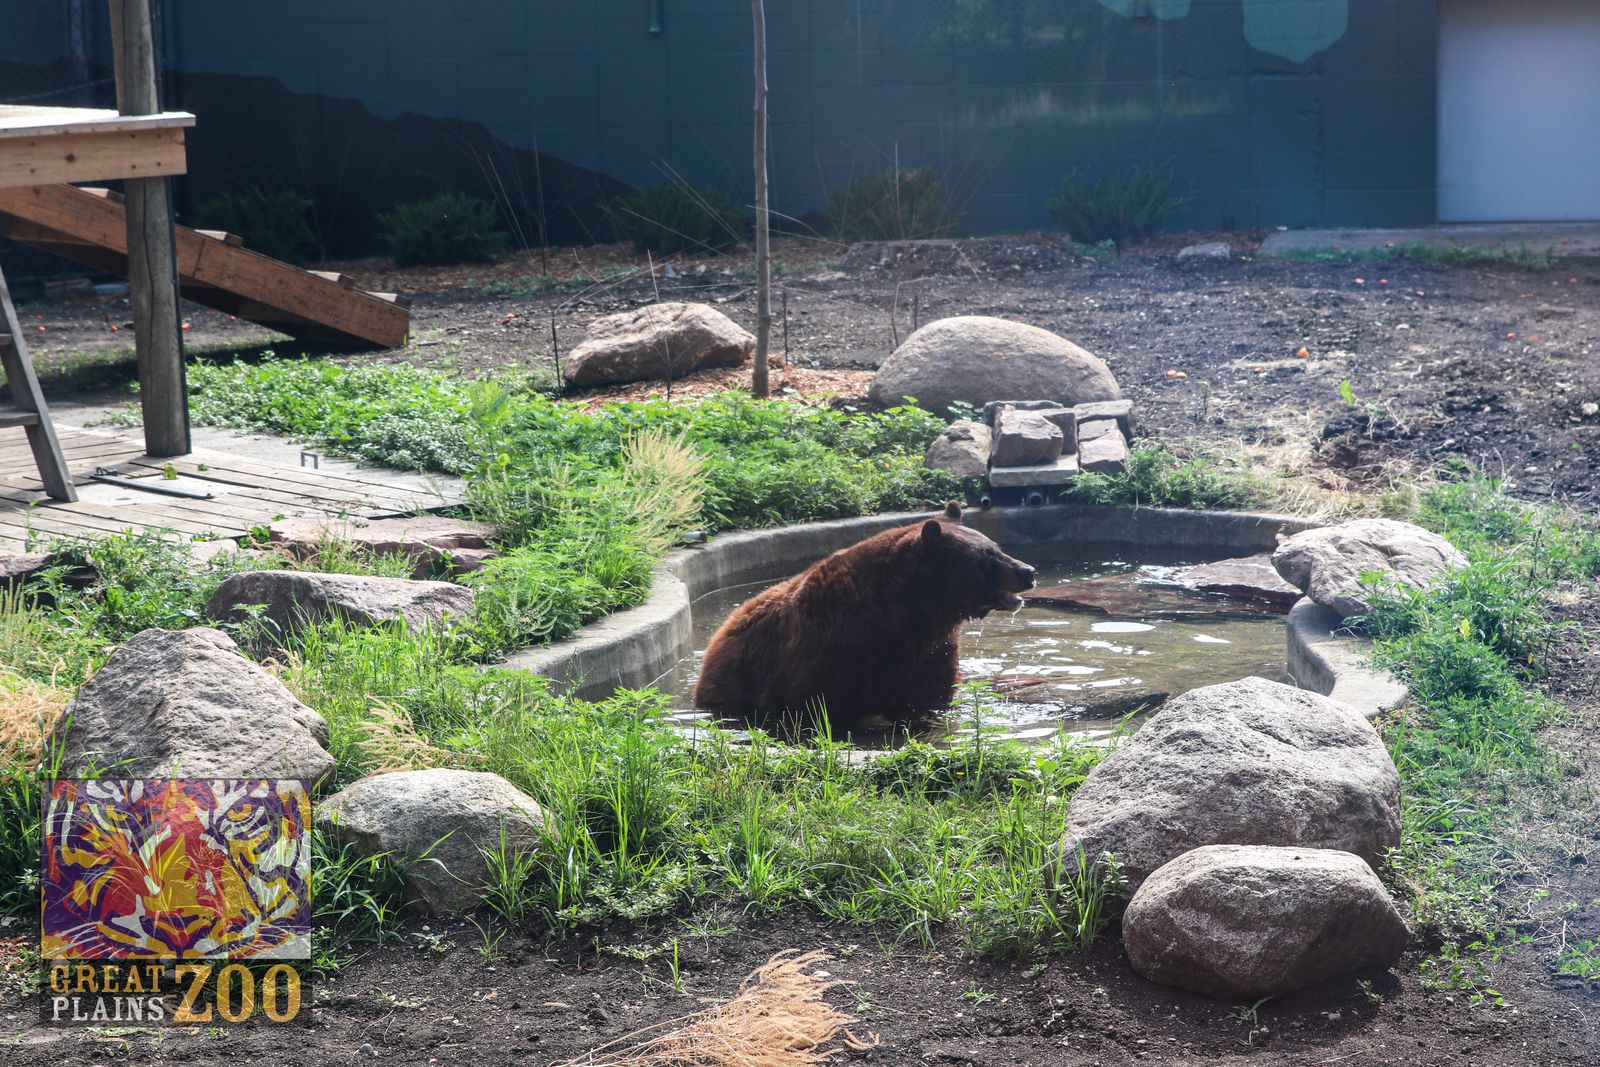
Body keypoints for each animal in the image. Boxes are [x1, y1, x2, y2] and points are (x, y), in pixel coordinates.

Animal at [693, 502, 1036, 728]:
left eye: (995, 546)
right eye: (986, 556)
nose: (1028, 571)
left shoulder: (932, 652)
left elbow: (932, 694)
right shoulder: (837, 651)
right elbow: (831, 703)